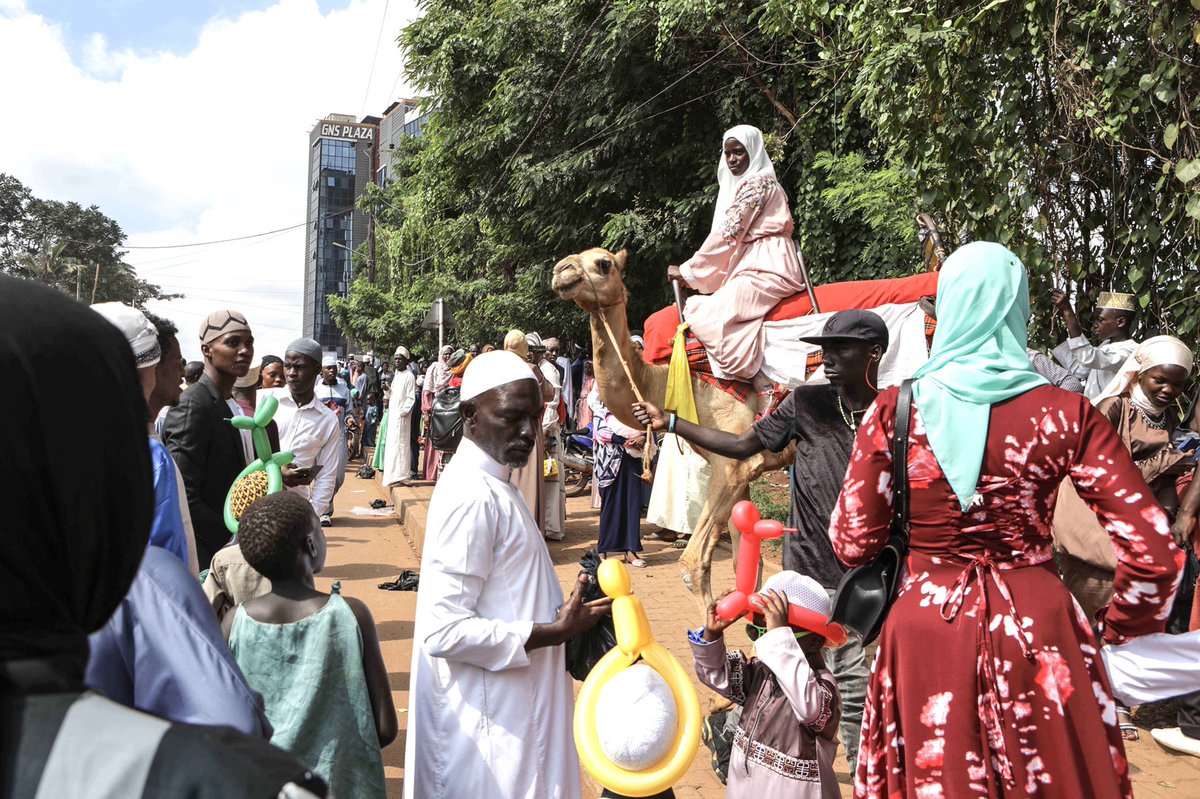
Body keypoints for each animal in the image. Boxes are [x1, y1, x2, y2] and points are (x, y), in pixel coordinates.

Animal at [552, 245, 796, 611]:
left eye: (604, 264)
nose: (560, 271)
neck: (673, 381)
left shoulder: (734, 462)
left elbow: (692, 565)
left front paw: (713, 621)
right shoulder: (744, 468)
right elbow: (742, 560)